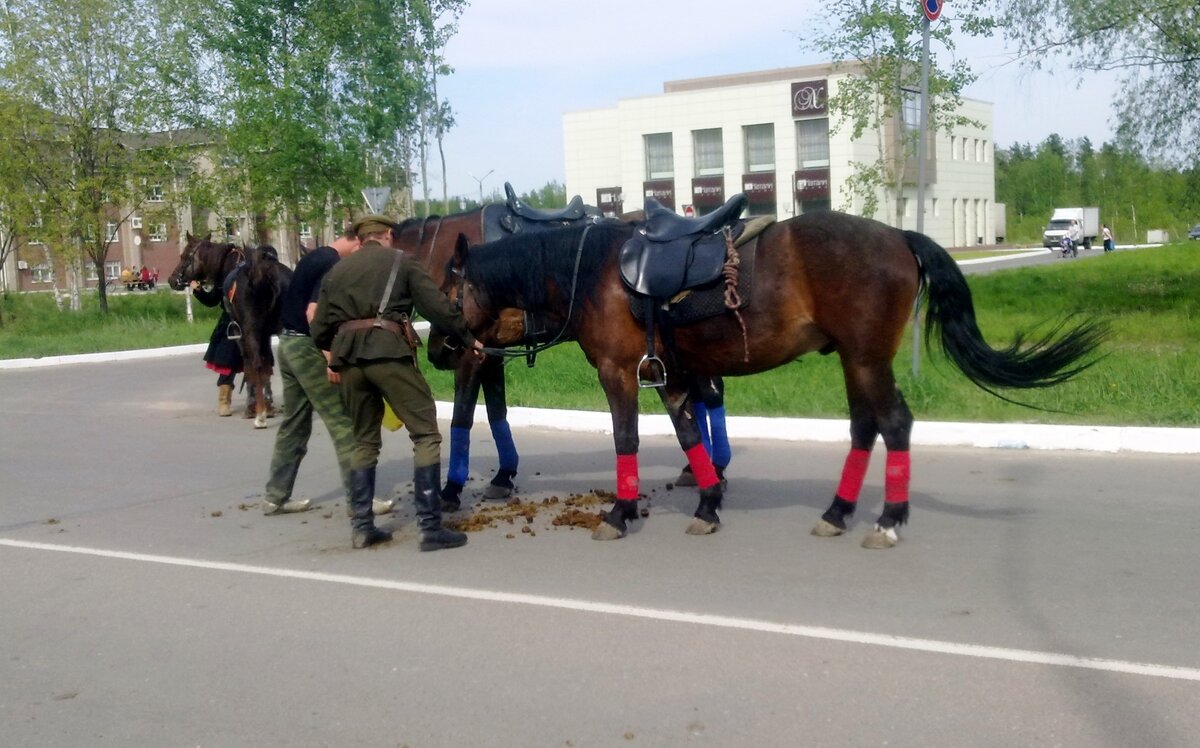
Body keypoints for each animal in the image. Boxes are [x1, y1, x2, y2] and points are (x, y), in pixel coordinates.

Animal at [169, 231, 292, 429]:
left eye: (184, 256)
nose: (172, 280)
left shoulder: (241, 333)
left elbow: (250, 366)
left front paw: (253, 408)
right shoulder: (265, 334)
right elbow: (267, 365)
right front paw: (268, 405)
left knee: (256, 363)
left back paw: (260, 418)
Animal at [441, 211, 1104, 549]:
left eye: (449, 289)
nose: (445, 350)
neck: (595, 271)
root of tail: (898, 235)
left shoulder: (619, 373)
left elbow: (626, 440)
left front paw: (620, 513)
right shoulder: (671, 374)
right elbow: (690, 437)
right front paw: (708, 505)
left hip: (866, 357)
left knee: (893, 424)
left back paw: (887, 520)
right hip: (855, 360)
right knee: (865, 427)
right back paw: (838, 511)